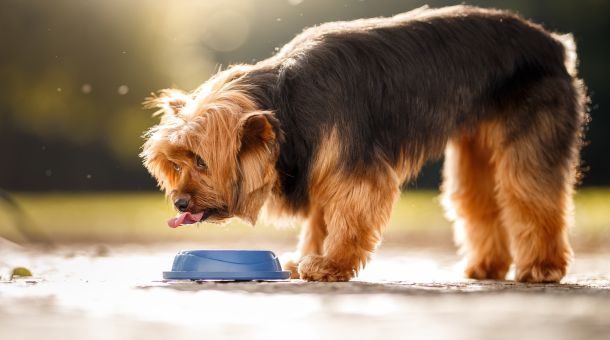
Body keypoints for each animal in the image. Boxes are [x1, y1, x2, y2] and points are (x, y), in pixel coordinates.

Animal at [140, 5, 588, 282]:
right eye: (175, 164)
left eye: (200, 160)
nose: (179, 202)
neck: (284, 99)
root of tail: (553, 44)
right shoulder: (323, 160)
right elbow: (320, 219)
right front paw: (309, 257)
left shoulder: (353, 168)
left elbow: (349, 213)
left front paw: (331, 264)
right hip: (474, 143)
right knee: (478, 199)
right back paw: (486, 266)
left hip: (531, 133)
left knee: (530, 194)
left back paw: (543, 268)